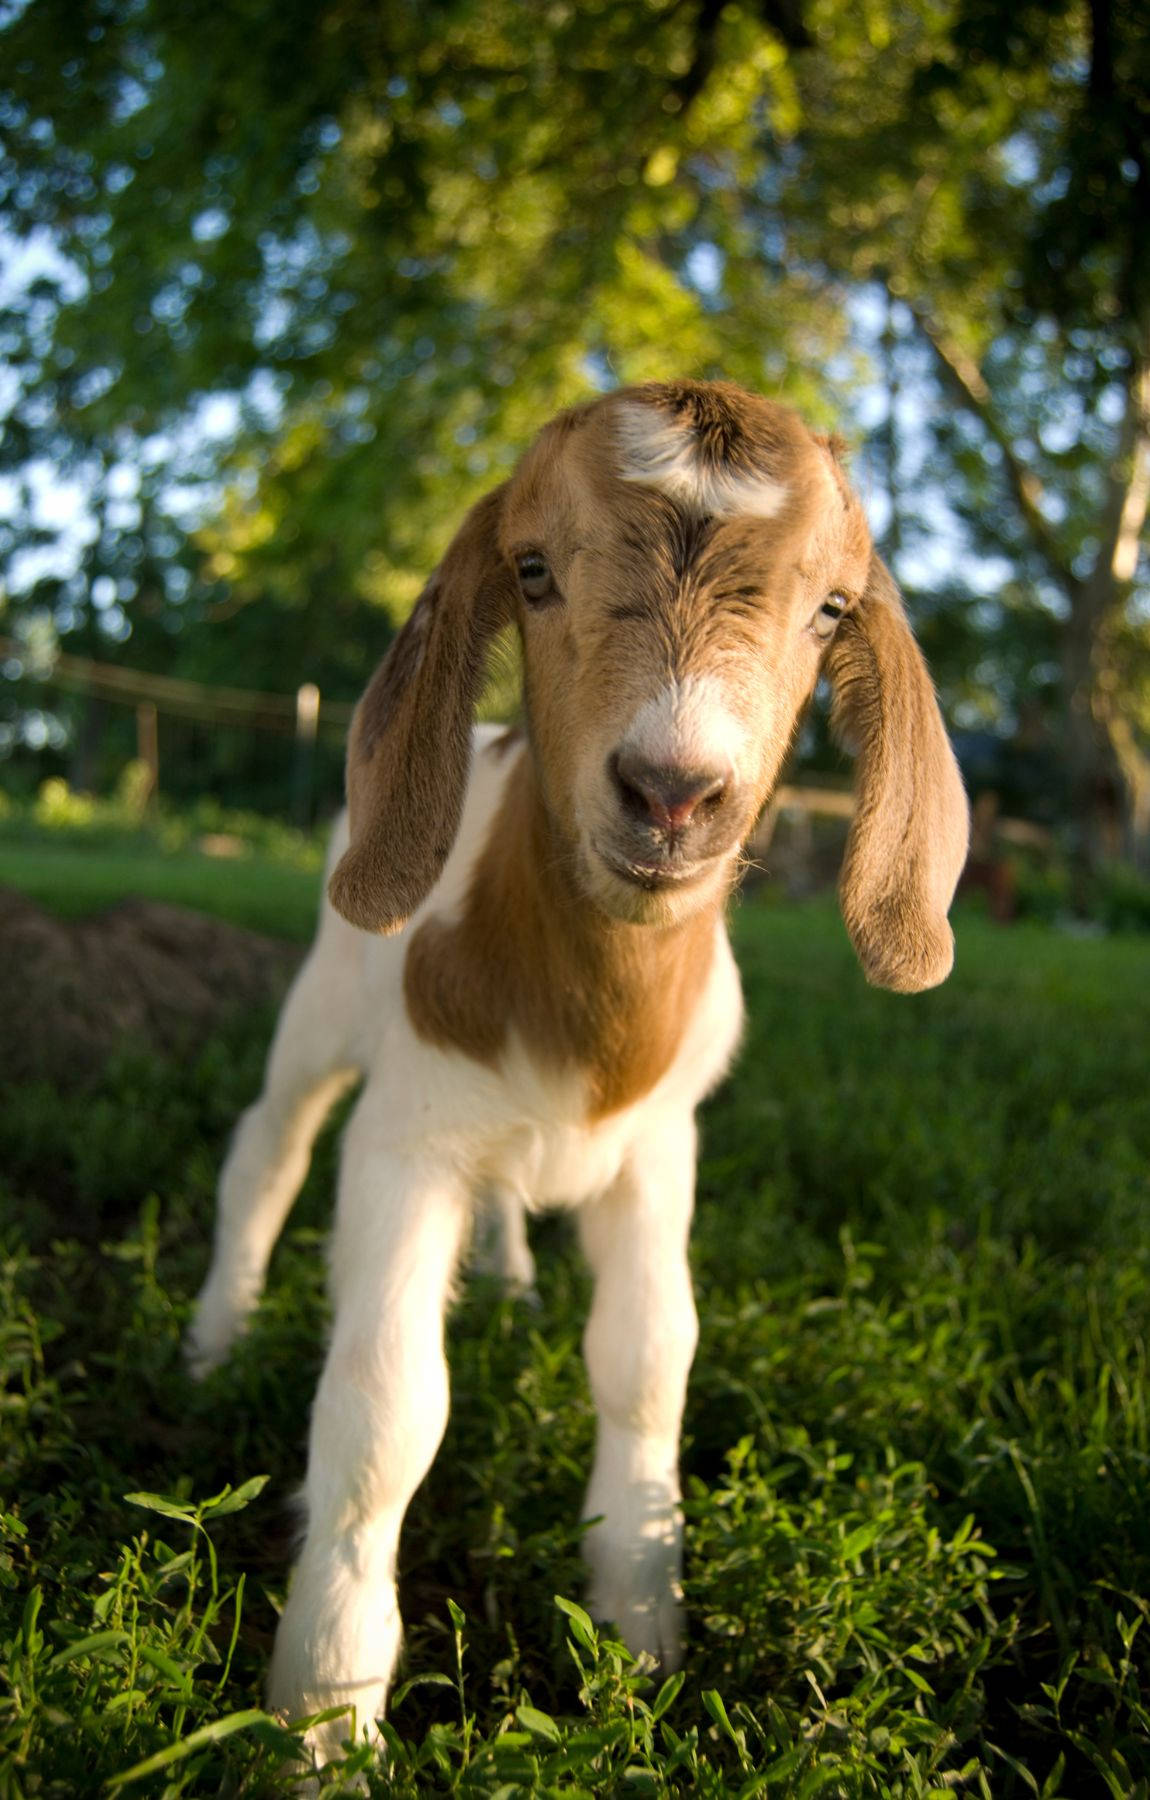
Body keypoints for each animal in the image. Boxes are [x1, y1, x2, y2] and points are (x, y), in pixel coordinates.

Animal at [187, 379, 969, 1767]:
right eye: (534, 570)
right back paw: (213, 1340)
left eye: (830, 609)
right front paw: (326, 1716)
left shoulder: (659, 1154)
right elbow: (387, 1406)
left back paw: (504, 1285)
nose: (671, 793)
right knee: (265, 1148)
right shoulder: (407, 1141)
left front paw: (639, 1626)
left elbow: (650, 1358)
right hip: (324, 1002)